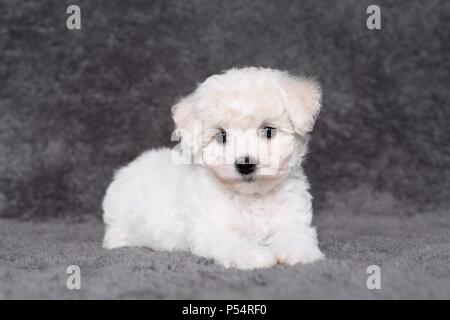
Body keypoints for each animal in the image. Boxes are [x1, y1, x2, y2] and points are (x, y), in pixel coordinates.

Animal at [103, 67, 326, 270]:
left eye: (269, 131)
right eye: (221, 136)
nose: (245, 164)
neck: (251, 198)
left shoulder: (291, 215)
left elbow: (296, 233)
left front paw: (298, 251)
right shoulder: (213, 229)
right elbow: (233, 242)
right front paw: (253, 255)